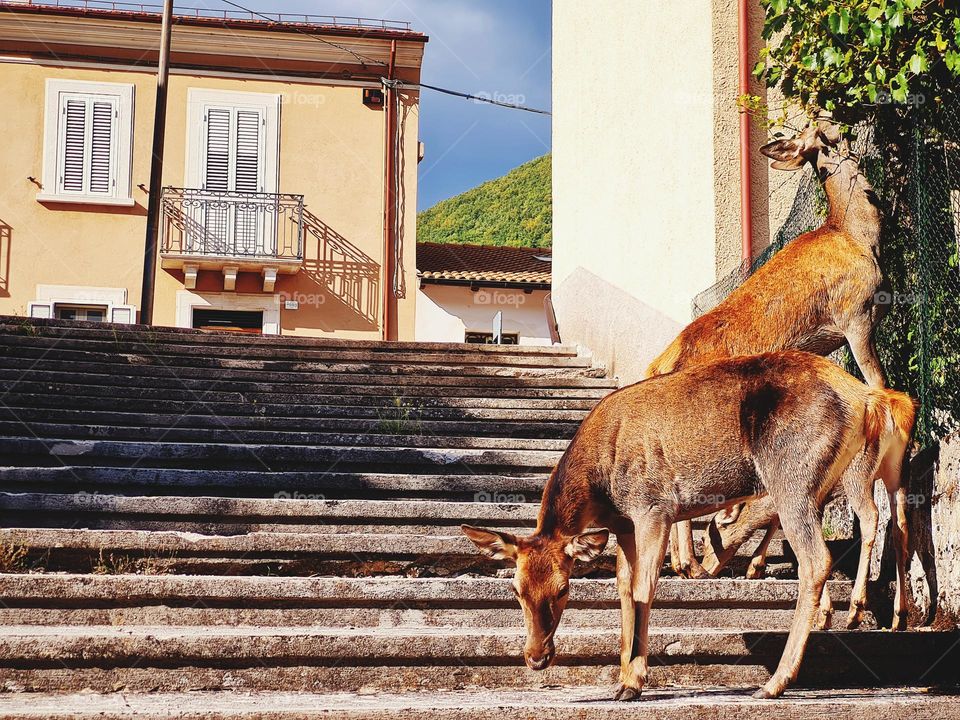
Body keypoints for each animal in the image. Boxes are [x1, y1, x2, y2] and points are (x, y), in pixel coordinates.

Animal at [464, 352, 916, 700]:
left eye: (563, 589)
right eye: (516, 590)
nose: (536, 657)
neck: (600, 485)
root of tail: (869, 399)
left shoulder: (653, 509)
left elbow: (645, 588)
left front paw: (634, 682)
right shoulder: (624, 525)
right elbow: (623, 590)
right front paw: (622, 677)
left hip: (795, 480)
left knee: (817, 558)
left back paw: (775, 681)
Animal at [648, 118, 888, 580]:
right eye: (820, 127)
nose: (842, 123)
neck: (857, 235)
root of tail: (659, 365)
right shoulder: (856, 313)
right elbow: (878, 380)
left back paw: (685, 561)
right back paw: (690, 563)